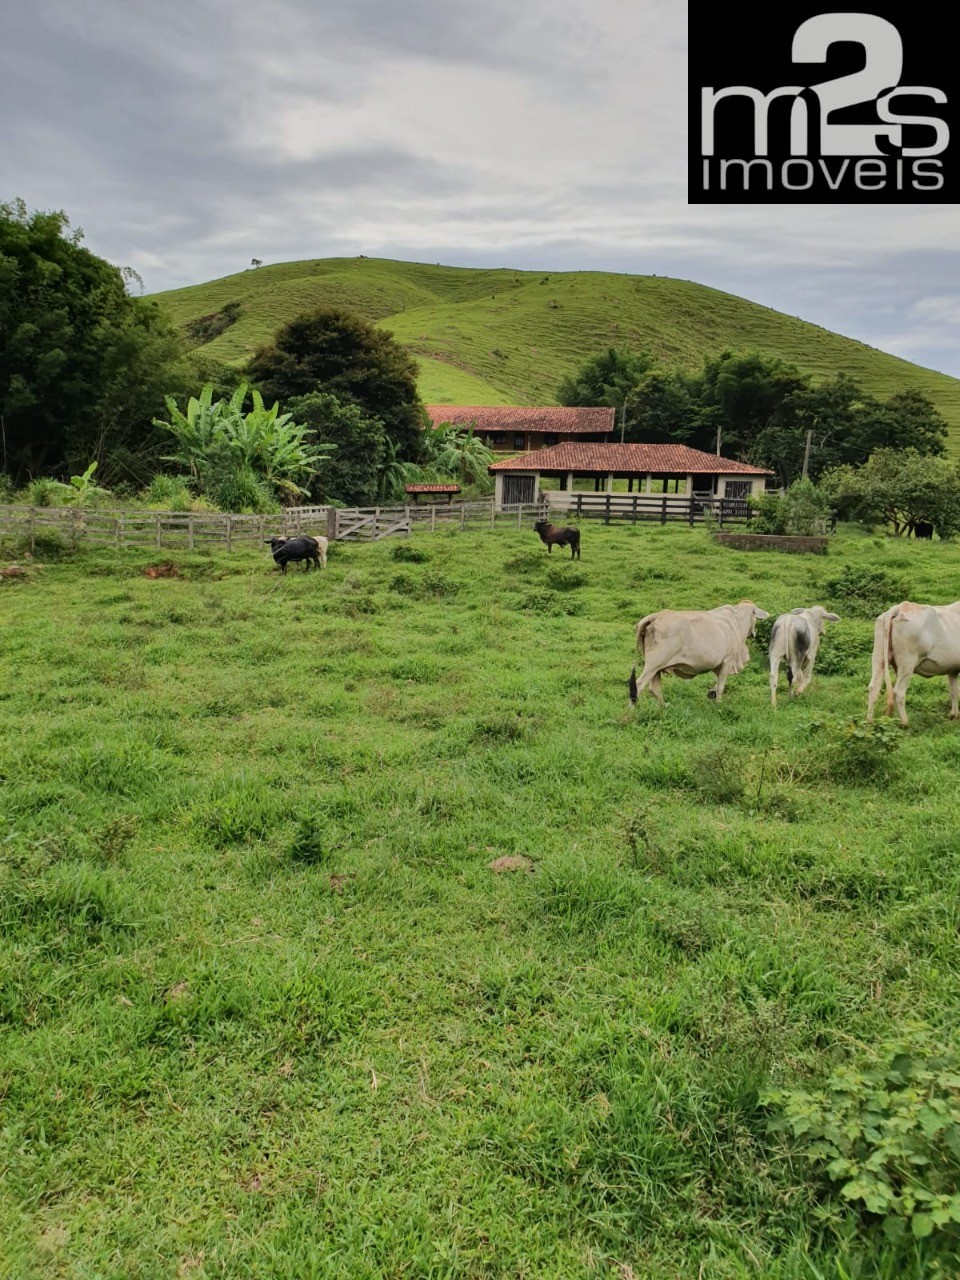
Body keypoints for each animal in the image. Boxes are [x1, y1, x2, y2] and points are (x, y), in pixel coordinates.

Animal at [627, 596, 773, 701]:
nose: (753, 633)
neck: (735, 622)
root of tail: (656, 616)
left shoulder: (718, 665)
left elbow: (716, 684)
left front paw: (711, 694)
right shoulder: (727, 661)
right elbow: (720, 687)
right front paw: (719, 704)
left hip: (657, 668)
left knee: (654, 689)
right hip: (653, 665)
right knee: (638, 686)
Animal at [865, 596, 960, 727]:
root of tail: (900, 607)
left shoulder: (953, 669)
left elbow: (954, 691)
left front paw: (954, 715)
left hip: (879, 657)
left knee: (874, 686)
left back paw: (869, 721)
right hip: (907, 663)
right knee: (898, 692)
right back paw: (905, 723)